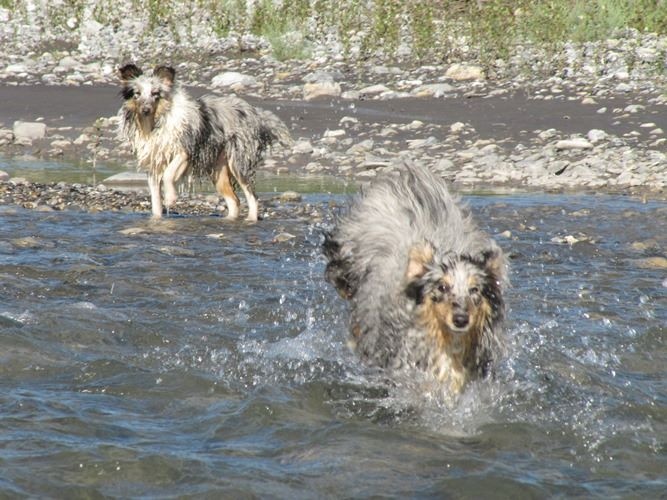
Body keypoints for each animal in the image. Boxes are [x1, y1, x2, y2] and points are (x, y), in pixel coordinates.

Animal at [117, 63, 292, 220]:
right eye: (137, 93)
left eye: (155, 93)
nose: (145, 110)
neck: (156, 123)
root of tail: (256, 114)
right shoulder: (154, 163)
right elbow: (155, 202)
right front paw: (157, 218)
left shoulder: (186, 150)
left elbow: (169, 174)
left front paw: (171, 198)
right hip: (218, 170)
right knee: (234, 201)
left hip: (238, 162)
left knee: (252, 197)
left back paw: (250, 220)